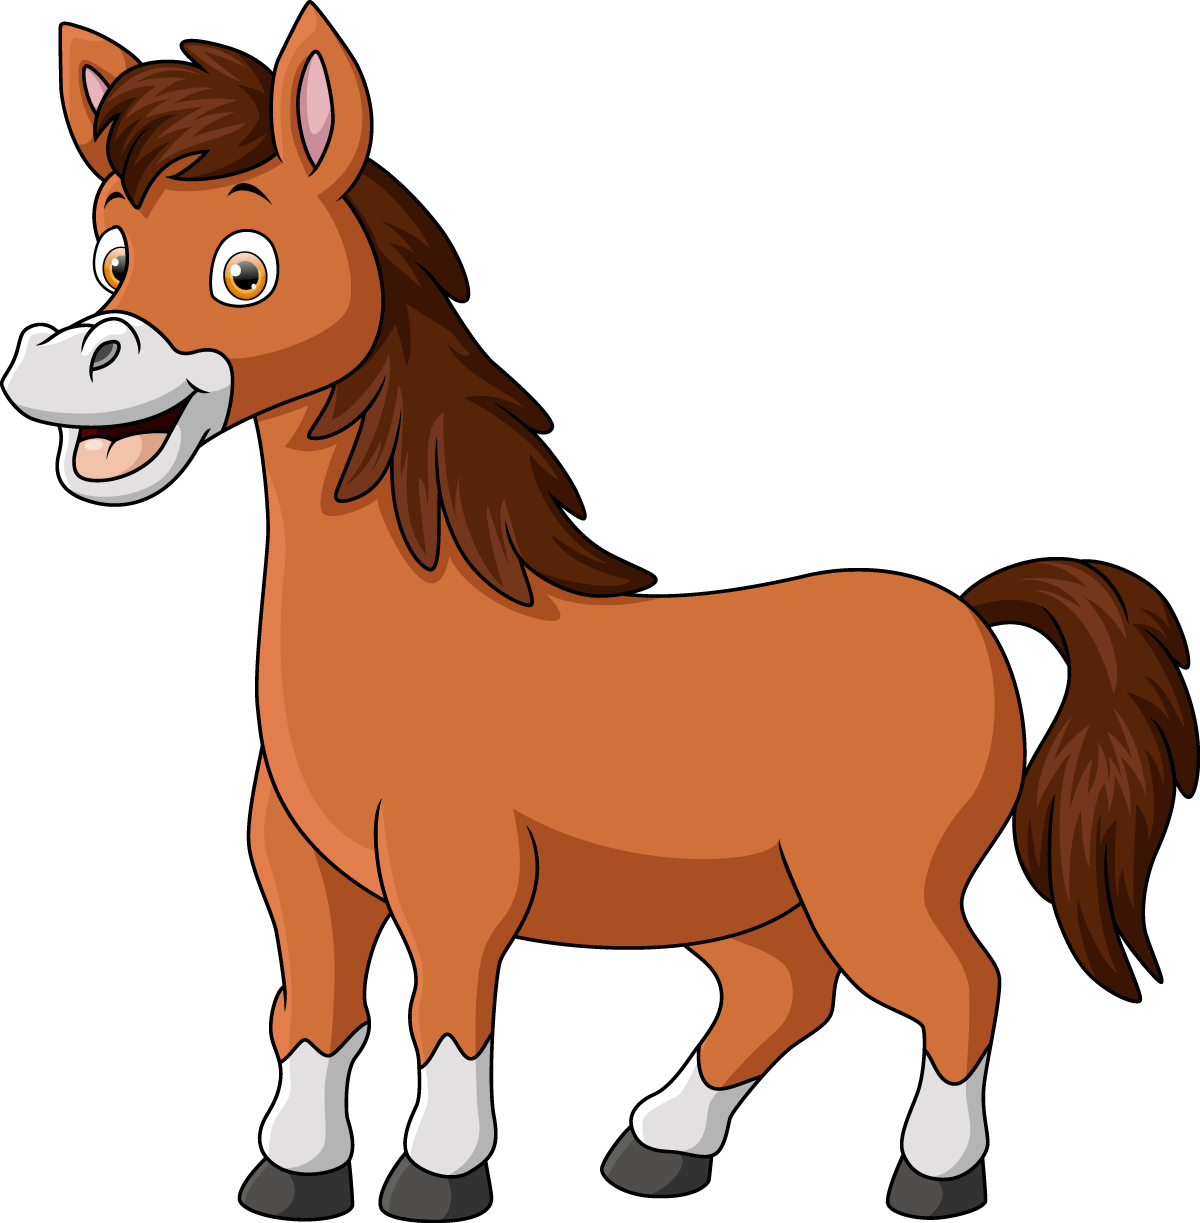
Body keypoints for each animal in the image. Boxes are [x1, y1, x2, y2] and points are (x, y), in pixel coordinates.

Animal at [6, 9, 1194, 1218]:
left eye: (246, 269)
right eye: (112, 256)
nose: (76, 359)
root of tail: (968, 614)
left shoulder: (455, 867)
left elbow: (446, 1011)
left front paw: (437, 1176)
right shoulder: (304, 867)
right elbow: (317, 1011)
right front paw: (294, 1170)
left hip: (878, 883)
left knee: (959, 987)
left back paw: (932, 1176)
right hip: (759, 901)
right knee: (786, 992)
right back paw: (662, 1144)